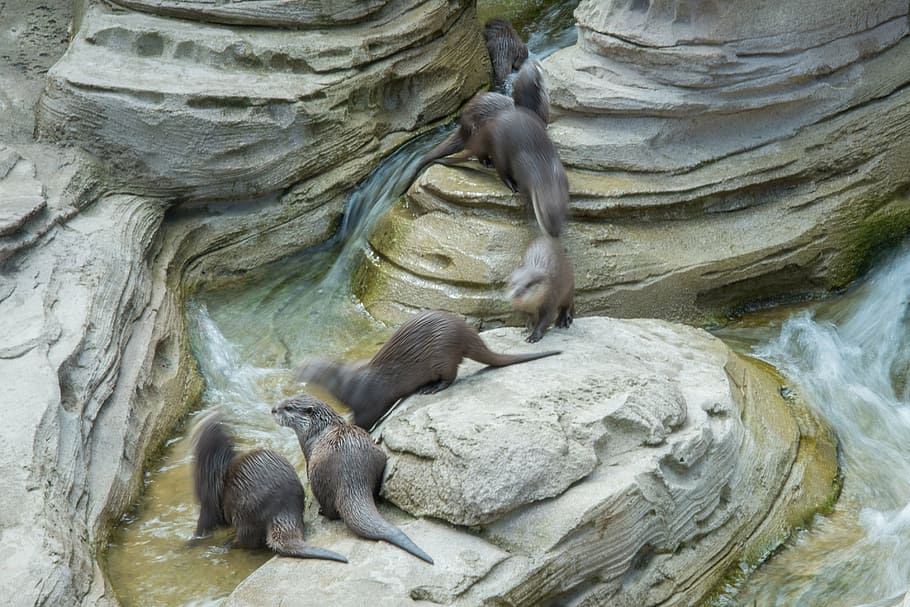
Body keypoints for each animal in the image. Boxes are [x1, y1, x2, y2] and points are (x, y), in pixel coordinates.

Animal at [191, 411, 347, 562]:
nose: (203, 416)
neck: (213, 466)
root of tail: (282, 510)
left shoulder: (208, 501)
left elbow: (205, 523)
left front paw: (192, 542)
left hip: (244, 511)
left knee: (247, 540)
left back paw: (226, 545)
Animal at [272, 394, 434, 564]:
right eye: (284, 400)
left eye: (288, 408)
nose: (273, 410)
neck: (318, 428)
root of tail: (351, 475)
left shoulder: (307, 448)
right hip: (379, 456)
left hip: (319, 476)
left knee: (330, 509)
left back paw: (323, 511)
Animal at [296, 310, 560, 430]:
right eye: (301, 365)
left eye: (307, 368)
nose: (296, 373)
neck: (344, 383)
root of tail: (466, 332)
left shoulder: (366, 402)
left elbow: (364, 421)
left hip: (443, 355)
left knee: (452, 376)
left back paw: (431, 388)